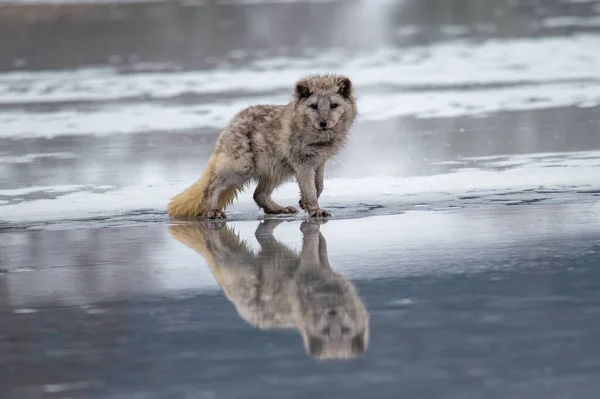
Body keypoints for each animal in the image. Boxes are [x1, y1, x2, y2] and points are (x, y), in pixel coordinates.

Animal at [166, 74, 356, 220]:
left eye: (333, 105)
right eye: (314, 106)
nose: (323, 123)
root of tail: (231, 123)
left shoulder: (318, 161)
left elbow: (319, 186)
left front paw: (305, 203)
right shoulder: (302, 163)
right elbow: (310, 189)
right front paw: (315, 210)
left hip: (276, 170)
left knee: (258, 195)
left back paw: (280, 210)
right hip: (242, 167)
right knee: (211, 186)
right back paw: (212, 211)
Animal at [166, 220, 368, 360]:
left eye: (345, 330)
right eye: (325, 331)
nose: (332, 312)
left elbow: (322, 249)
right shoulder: (305, 271)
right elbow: (310, 249)